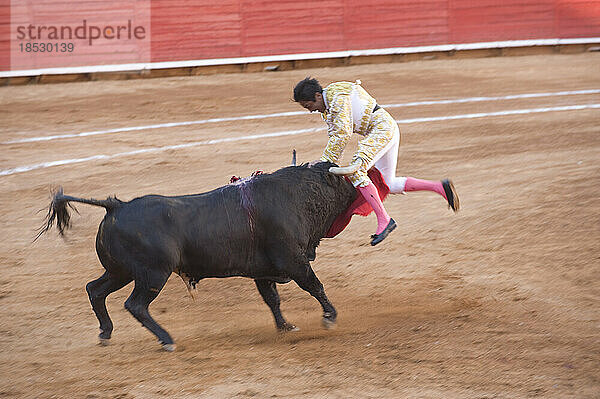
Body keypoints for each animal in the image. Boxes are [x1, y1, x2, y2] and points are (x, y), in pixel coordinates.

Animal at [41, 162, 356, 350]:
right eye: (346, 182)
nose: (359, 189)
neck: (296, 196)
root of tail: (116, 206)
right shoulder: (293, 261)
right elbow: (315, 286)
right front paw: (330, 317)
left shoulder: (263, 271)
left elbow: (272, 299)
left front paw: (286, 327)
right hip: (153, 274)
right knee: (135, 305)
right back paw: (167, 340)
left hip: (120, 271)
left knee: (95, 289)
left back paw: (105, 333)